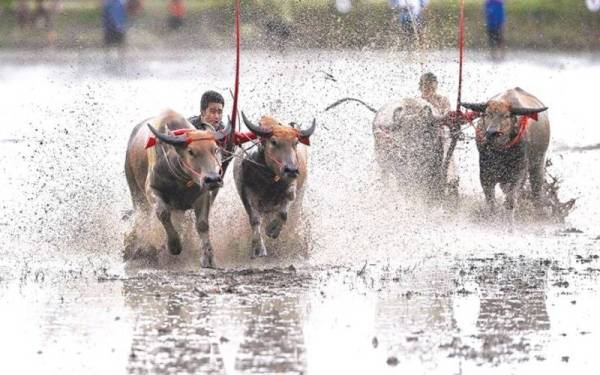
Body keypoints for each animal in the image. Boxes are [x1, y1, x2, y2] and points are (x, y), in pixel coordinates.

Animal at [125, 108, 232, 268]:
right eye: (191, 151)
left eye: (215, 149)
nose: (213, 179)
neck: (180, 179)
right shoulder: (152, 190)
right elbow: (163, 213)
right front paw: (174, 246)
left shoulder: (202, 194)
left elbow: (202, 224)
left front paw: (208, 257)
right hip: (136, 193)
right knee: (142, 219)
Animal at [233, 113, 316, 258]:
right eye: (274, 142)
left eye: (295, 142)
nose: (292, 170)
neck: (269, 181)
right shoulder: (246, 192)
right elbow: (255, 220)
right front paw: (258, 249)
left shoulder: (291, 188)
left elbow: (283, 212)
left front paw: (272, 230)